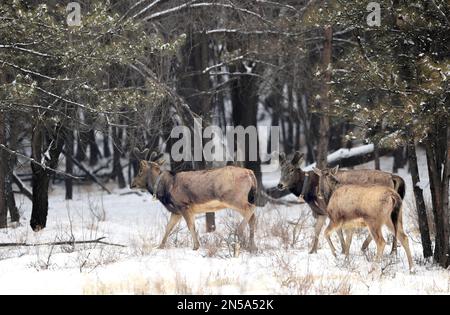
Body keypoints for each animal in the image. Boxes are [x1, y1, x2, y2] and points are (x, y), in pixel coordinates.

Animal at [276, 152, 406, 256]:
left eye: (292, 169)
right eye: (281, 169)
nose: (279, 185)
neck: (309, 192)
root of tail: (393, 177)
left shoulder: (328, 210)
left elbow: (337, 231)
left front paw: (342, 250)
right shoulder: (321, 213)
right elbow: (317, 230)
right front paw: (312, 251)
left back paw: (366, 246)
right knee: (397, 226)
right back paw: (393, 251)